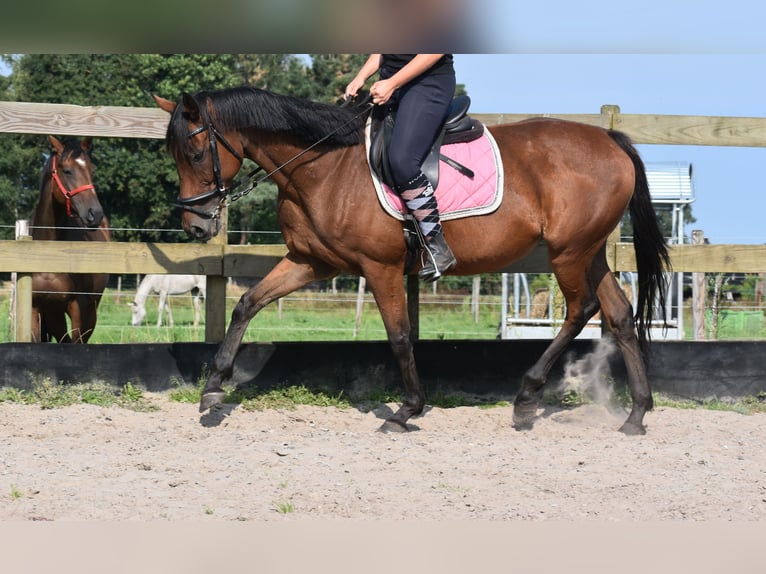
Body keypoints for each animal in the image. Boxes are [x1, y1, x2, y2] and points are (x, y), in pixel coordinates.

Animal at [31, 137, 112, 344]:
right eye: (67, 171)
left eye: (91, 170)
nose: (95, 213)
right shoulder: (36, 307)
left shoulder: (79, 306)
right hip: (54, 314)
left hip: (90, 311)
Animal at [156, 88, 672, 434]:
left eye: (196, 152)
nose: (196, 226)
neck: (323, 167)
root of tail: (611, 142)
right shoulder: (311, 262)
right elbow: (247, 304)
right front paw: (213, 387)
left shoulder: (379, 267)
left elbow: (400, 336)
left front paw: (407, 409)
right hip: (589, 251)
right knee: (620, 315)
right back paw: (635, 414)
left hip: (568, 252)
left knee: (581, 310)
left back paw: (527, 398)